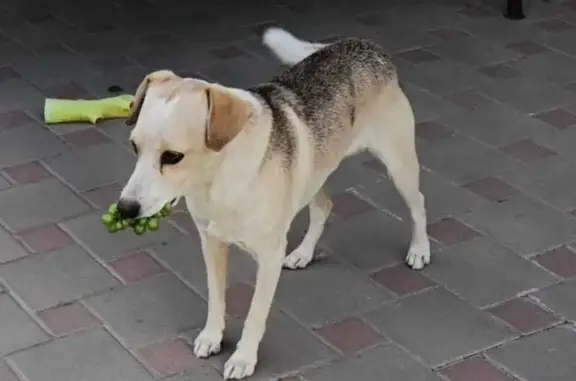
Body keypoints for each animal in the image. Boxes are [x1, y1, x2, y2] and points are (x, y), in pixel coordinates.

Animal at [117, 28, 430, 378]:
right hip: (313, 172)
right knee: (324, 206)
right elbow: (216, 296)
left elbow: (255, 313)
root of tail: (365, 44)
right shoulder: (210, 242)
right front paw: (212, 337)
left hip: (399, 165)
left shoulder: (268, 256)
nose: (125, 209)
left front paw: (243, 358)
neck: (219, 181)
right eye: (134, 147)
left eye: (172, 156)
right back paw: (303, 253)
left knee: (418, 203)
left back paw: (420, 250)